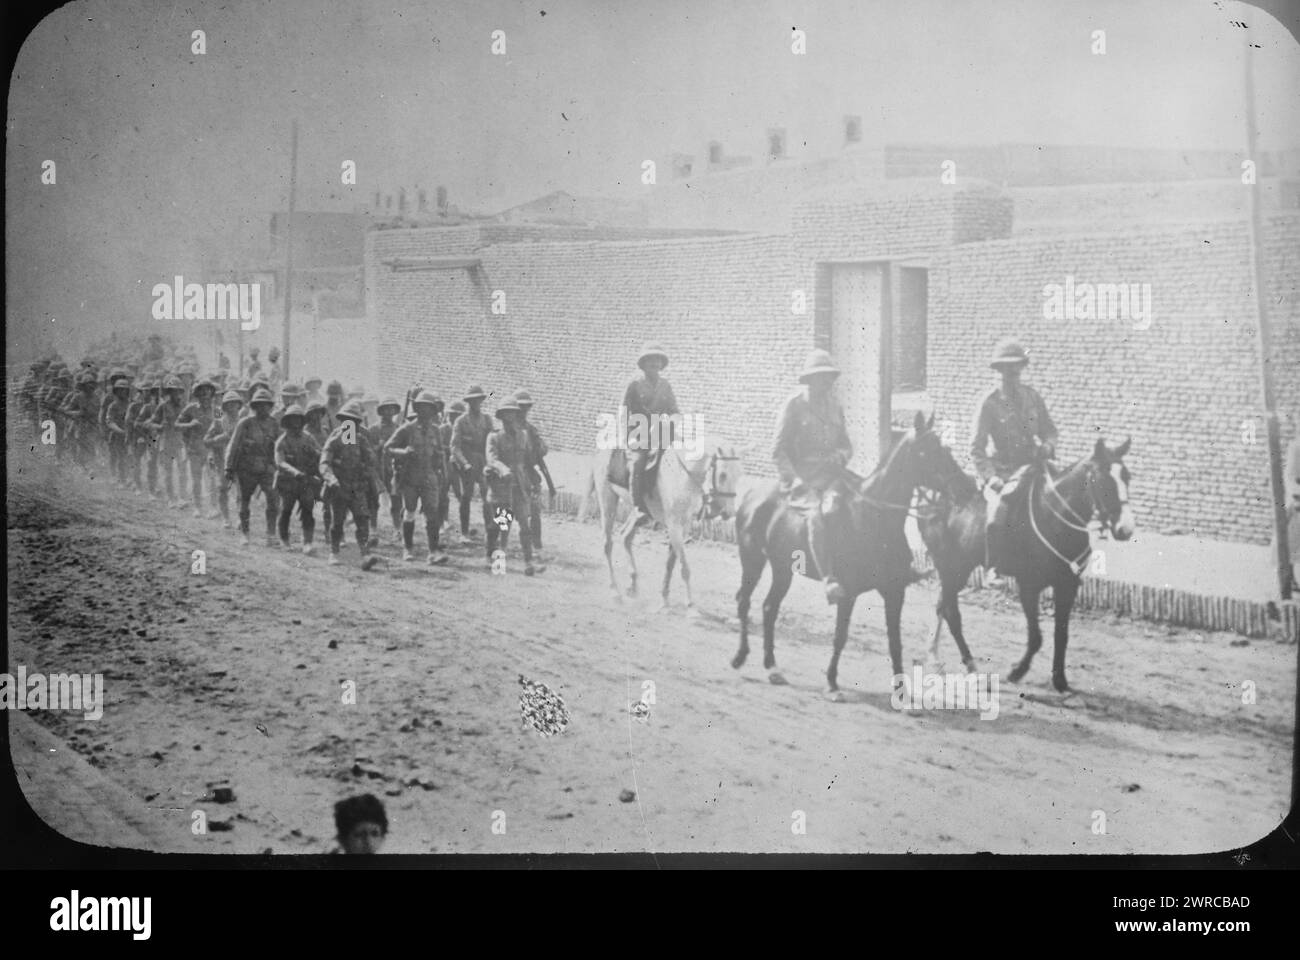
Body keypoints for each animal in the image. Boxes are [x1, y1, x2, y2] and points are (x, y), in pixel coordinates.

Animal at [585, 437, 748, 608]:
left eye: (739, 475)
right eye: (723, 475)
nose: (729, 513)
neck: (683, 475)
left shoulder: (683, 526)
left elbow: (671, 563)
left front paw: (664, 597)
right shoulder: (674, 526)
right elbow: (684, 567)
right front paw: (689, 603)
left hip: (639, 512)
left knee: (625, 537)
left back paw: (633, 585)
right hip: (607, 501)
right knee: (607, 544)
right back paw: (615, 592)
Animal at [733, 411, 967, 697]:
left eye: (945, 448)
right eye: (928, 450)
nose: (964, 486)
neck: (874, 518)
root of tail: (751, 495)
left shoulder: (894, 592)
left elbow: (895, 641)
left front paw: (901, 691)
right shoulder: (848, 593)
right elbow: (840, 636)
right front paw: (832, 683)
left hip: (781, 570)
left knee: (769, 608)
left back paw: (772, 668)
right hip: (752, 560)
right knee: (744, 601)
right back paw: (740, 656)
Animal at [915, 437, 1138, 692]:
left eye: (1127, 477)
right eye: (1102, 480)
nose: (1125, 528)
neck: (1055, 519)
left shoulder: (1067, 586)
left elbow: (1061, 635)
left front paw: (1060, 680)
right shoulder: (1029, 586)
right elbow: (1036, 637)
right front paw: (1017, 671)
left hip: (958, 569)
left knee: (942, 607)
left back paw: (935, 658)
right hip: (951, 567)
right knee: (951, 613)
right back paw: (968, 666)